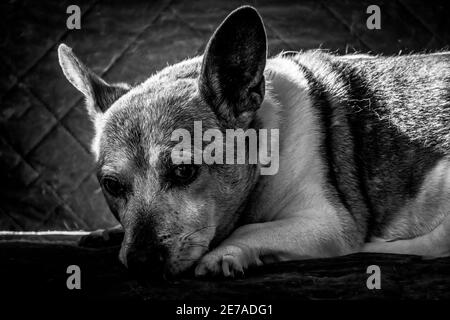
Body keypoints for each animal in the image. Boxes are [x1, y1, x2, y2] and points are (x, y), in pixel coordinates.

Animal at [56, 6, 450, 278]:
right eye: (111, 186)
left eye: (184, 172)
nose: (141, 262)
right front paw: (108, 232)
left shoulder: (327, 221)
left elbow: (250, 228)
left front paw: (226, 253)